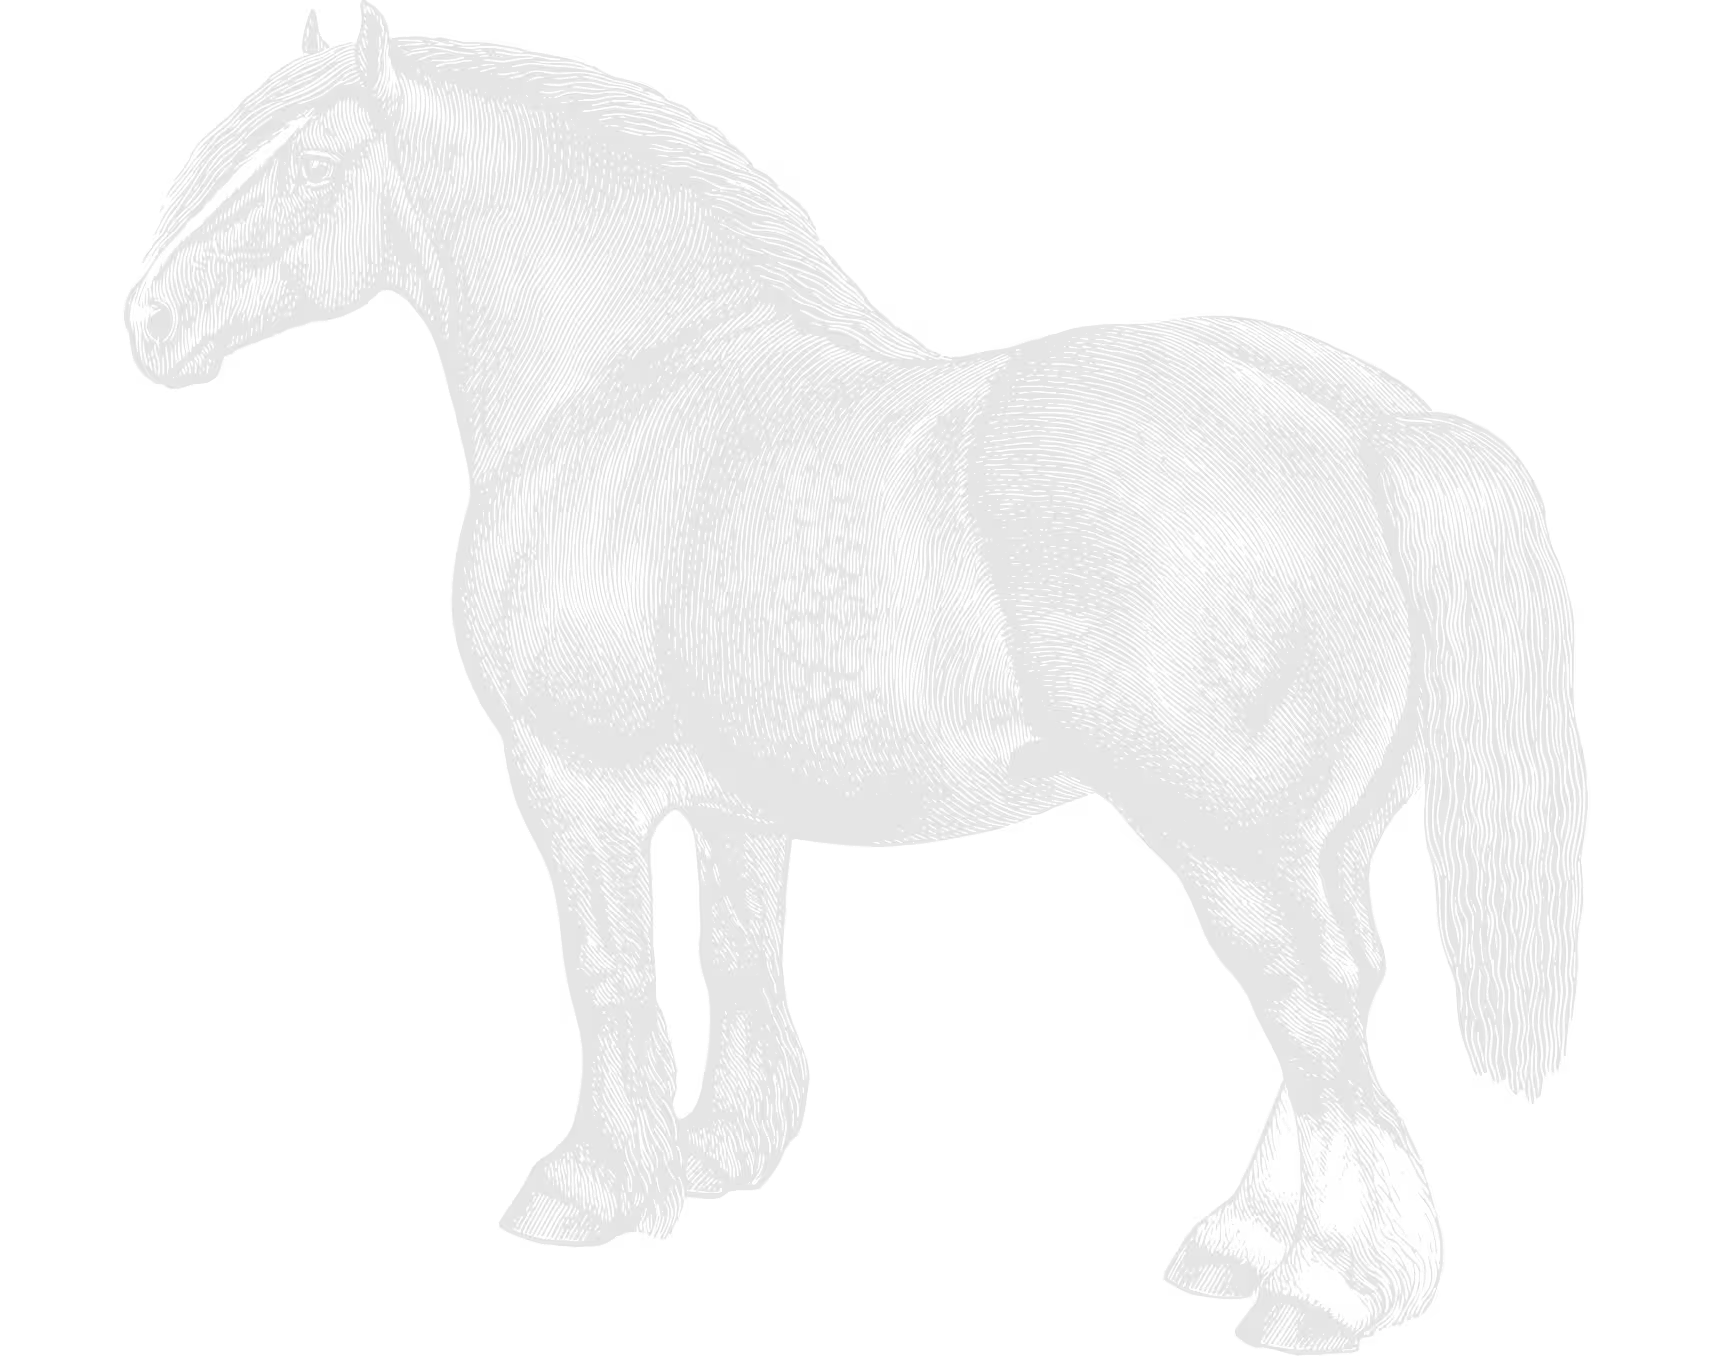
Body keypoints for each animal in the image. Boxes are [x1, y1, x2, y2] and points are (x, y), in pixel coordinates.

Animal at [126, 7, 1586, 1350]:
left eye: (296, 157)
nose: (150, 321)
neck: (620, 387)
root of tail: (1371, 425)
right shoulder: (730, 801)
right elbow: (737, 946)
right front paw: (726, 1147)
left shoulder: (572, 780)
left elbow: (610, 970)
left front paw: (596, 1185)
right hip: (1322, 843)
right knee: (1338, 1004)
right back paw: (1247, 1244)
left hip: (1236, 849)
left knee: (1317, 1015)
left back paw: (1336, 1291)